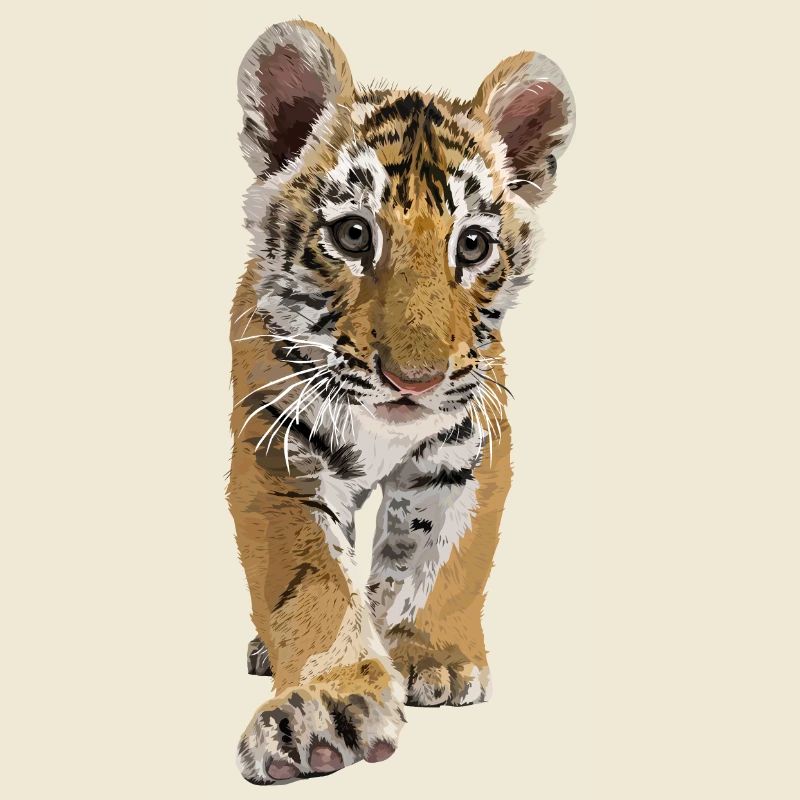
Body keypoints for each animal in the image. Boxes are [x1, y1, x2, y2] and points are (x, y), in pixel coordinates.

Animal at [229, 19, 575, 784]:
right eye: (354, 234)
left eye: (472, 245)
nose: (414, 380)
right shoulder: (278, 456)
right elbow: (314, 584)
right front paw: (325, 708)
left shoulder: (469, 448)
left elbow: (442, 557)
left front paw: (431, 656)